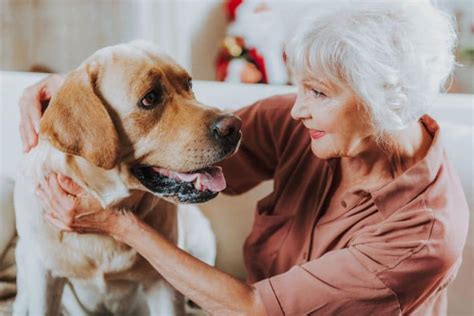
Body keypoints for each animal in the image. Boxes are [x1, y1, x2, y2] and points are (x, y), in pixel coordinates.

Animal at [12, 40, 243, 314]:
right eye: (150, 98)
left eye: (189, 84)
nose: (235, 127)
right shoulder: (43, 277)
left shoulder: (164, 285)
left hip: (202, 240)